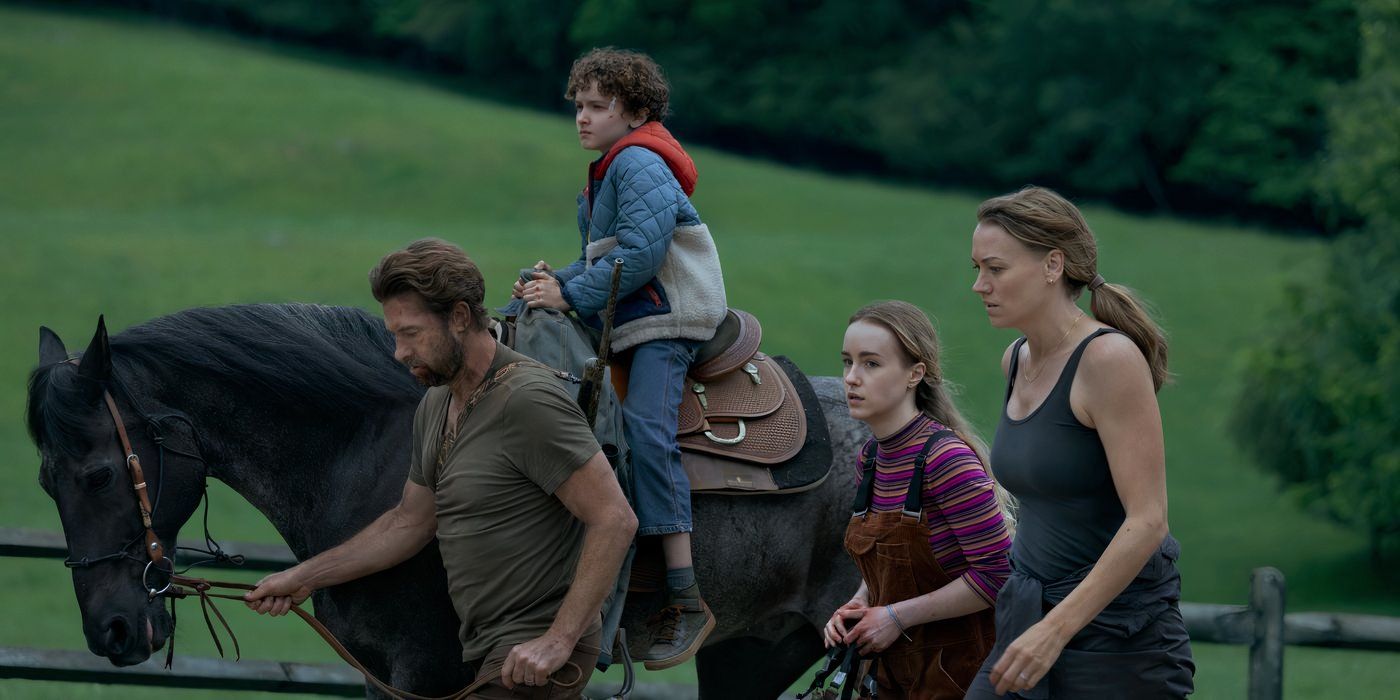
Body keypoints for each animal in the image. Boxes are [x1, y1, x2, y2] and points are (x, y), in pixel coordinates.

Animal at [24, 306, 862, 700]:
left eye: (98, 474)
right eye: (47, 482)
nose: (112, 631)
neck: (374, 448)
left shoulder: (432, 671)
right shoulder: (378, 672)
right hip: (753, 653)